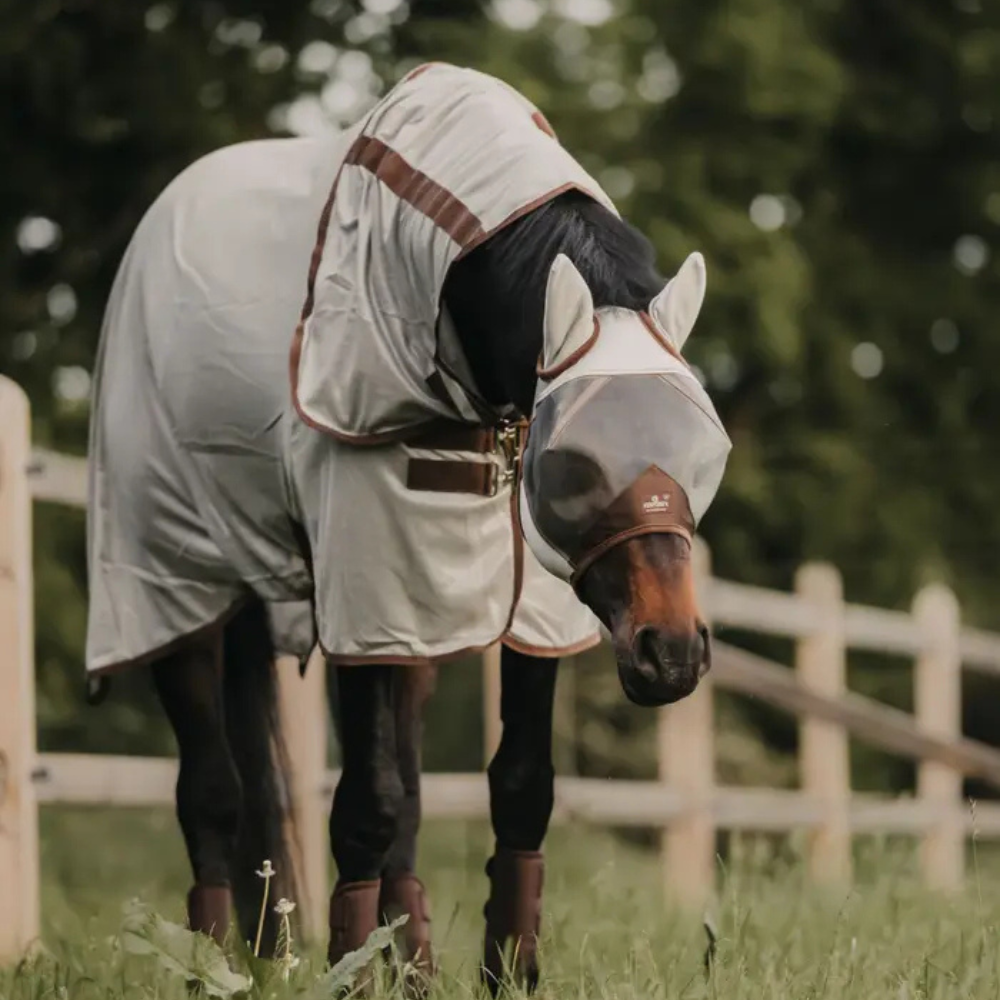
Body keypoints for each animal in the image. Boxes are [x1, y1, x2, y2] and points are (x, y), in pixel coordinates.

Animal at [84, 64, 728, 992]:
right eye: (573, 460)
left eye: (705, 446)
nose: (671, 652)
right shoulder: (368, 587)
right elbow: (365, 805)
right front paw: (349, 974)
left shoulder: (524, 605)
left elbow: (517, 785)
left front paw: (508, 973)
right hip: (173, 581)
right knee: (211, 792)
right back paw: (220, 966)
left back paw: (405, 964)